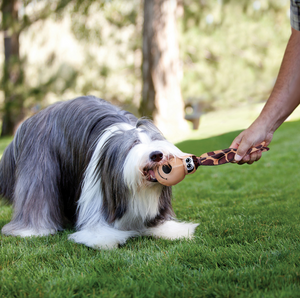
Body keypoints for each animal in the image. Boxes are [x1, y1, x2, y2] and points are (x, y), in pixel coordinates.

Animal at [0, 96, 199, 249]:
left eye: (155, 139)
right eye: (134, 143)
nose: (157, 154)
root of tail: (31, 120)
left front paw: (172, 230)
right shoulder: (95, 193)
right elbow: (97, 227)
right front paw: (103, 237)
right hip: (40, 162)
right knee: (37, 194)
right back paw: (32, 230)